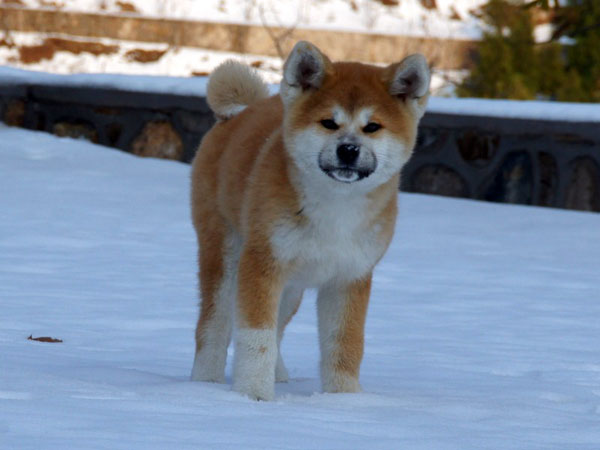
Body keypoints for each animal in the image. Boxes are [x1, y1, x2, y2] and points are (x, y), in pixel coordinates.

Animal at [190, 41, 428, 400]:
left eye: (372, 127)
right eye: (328, 123)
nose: (348, 150)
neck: (335, 211)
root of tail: (239, 112)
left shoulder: (350, 277)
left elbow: (345, 344)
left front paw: (343, 400)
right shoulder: (263, 263)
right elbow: (256, 337)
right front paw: (253, 395)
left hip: (292, 287)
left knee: (277, 327)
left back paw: (278, 375)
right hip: (226, 255)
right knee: (214, 324)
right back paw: (204, 383)